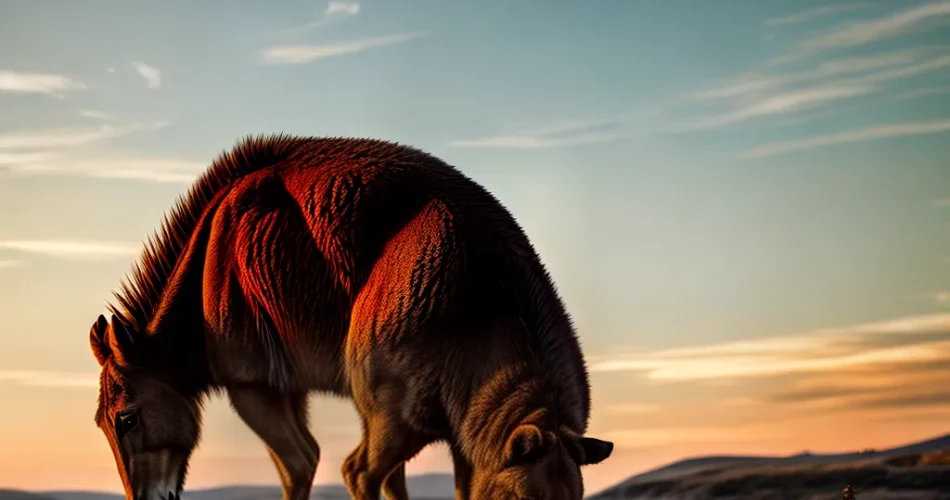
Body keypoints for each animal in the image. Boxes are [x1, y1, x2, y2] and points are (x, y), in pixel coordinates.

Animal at [87, 134, 608, 500]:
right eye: (112, 421)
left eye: (124, 418)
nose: (145, 498)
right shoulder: (270, 389)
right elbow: (326, 470)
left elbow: (309, 466)